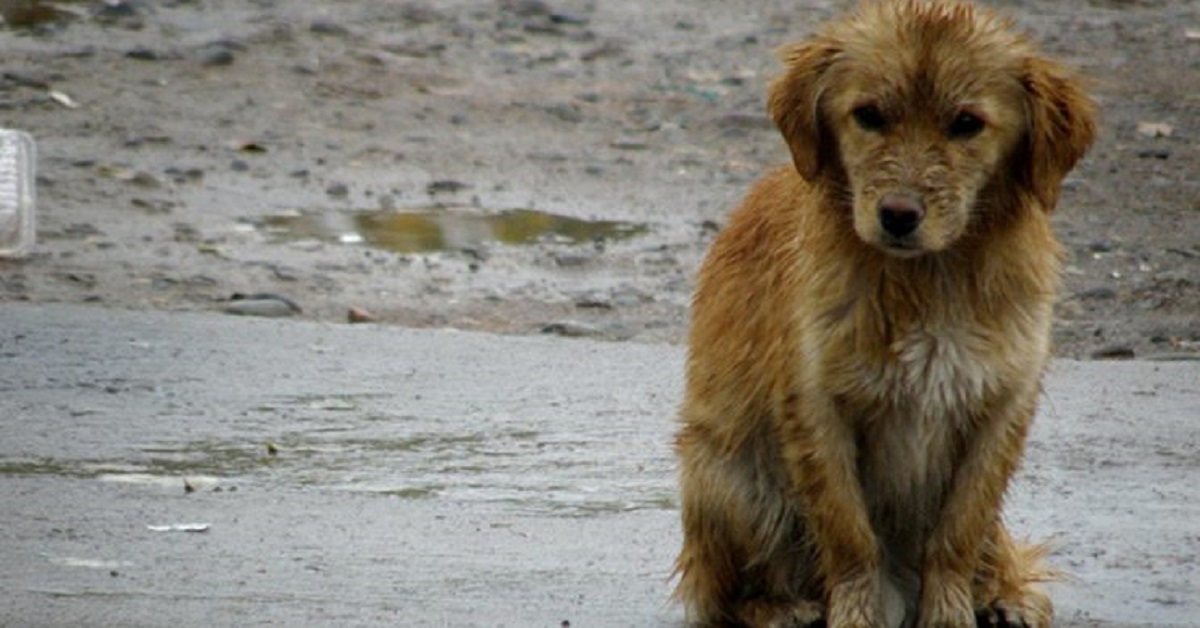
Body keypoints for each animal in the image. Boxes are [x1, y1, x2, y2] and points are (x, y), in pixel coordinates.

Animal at [676, 1, 1099, 628]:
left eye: (967, 123)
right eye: (869, 115)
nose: (898, 215)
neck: (929, 279)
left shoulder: (1001, 407)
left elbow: (957, 532)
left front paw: (950, 613)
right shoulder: (818, 407)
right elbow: (851, 535)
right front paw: (858, 612)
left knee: (994, 550)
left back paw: (1005, 597)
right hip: (731, 478)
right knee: (728, 592)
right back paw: (780, 606)